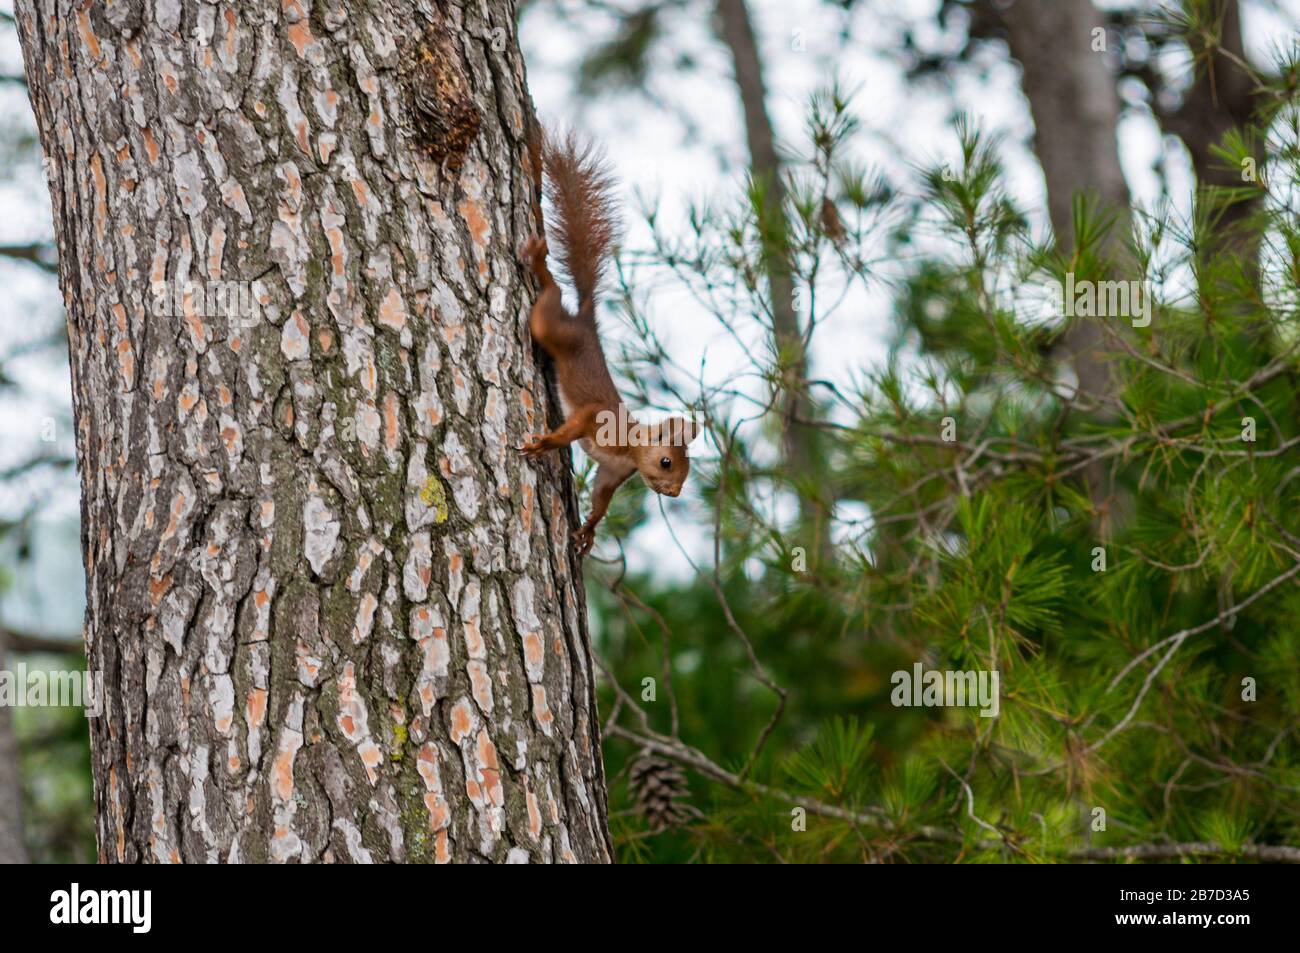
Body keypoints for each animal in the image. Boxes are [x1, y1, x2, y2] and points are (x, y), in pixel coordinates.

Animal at [519, 128, 700, 557]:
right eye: (667, 462)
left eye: (687, 472)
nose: (674, 493)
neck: (629, 447)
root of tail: (587, 319)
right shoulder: (596, 419)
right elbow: (572, 427)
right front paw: (545, 443)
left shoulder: (612, 472)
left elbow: (601, 499)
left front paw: (588, 531)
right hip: (553, 328)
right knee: (549, 298)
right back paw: (538, 263)